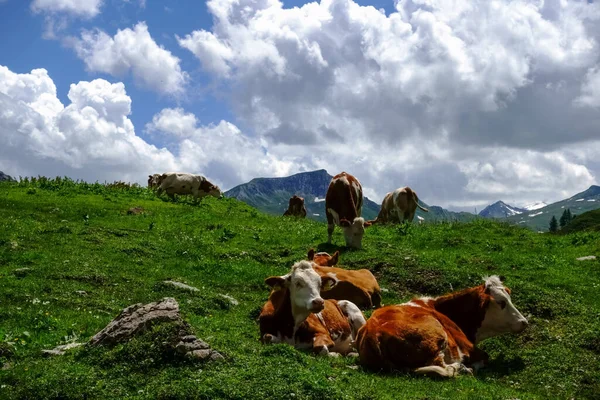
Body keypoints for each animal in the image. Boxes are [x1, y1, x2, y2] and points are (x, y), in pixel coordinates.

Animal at [358, 276, 528, 376]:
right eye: (501, 302)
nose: (524, 322)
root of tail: (373, 332)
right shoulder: (467, 346)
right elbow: (485, 357)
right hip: (436, 335)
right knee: (442, 367)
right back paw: (461, 368)